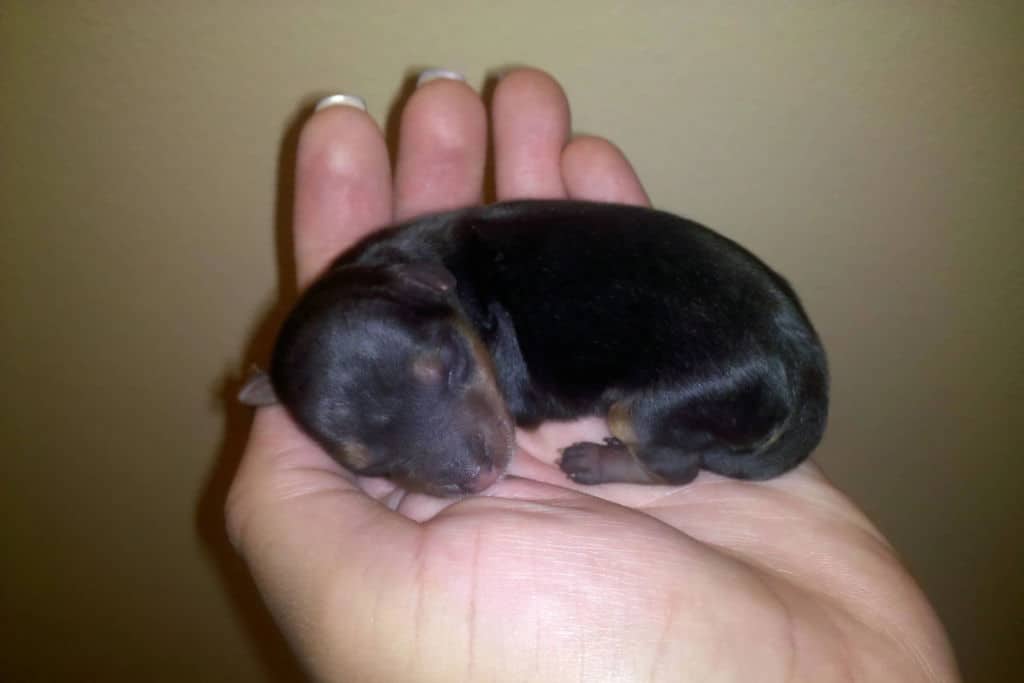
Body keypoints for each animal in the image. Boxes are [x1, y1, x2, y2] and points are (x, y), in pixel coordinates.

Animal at [241, 200, 831, 493]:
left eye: (453, 369)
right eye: (371, 464)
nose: (477, 478)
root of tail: (807, 366)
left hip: (656, 407)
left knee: (677, 469)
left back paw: (598, 461)